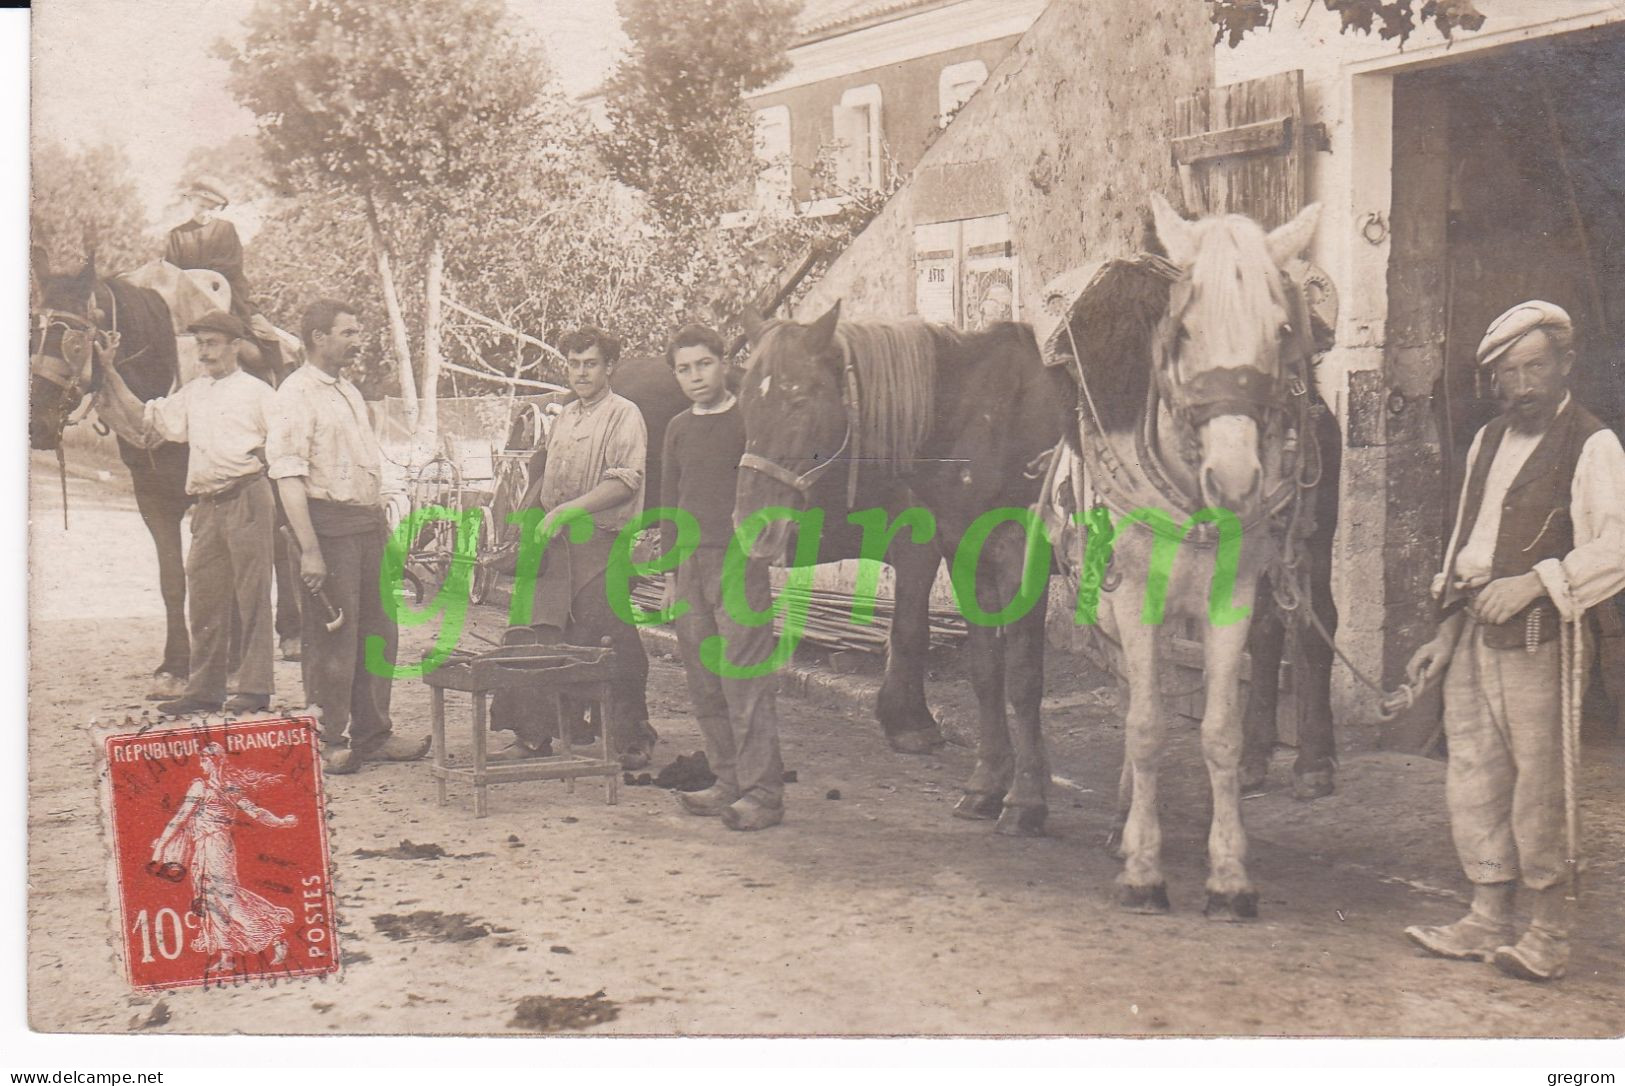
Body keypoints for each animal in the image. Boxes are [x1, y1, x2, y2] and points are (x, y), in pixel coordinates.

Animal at [734, 304, 1066, 832]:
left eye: (799, 399)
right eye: (744, 400)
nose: (751, 524)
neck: (982, 419)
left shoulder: (1014, 557)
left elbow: (1019, 676)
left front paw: (1026, 798)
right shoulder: (965, 556)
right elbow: (985, 671)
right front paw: (986, 785)